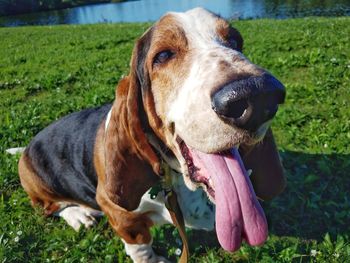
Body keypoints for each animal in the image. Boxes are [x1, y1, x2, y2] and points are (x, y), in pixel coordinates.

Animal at [17, 8, 286, 263]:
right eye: (163, 56)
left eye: (235, 41)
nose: (257, 95)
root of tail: (26, 149)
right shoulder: (119, 212)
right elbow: (139, 244)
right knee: (48, 207)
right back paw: (79, 215)